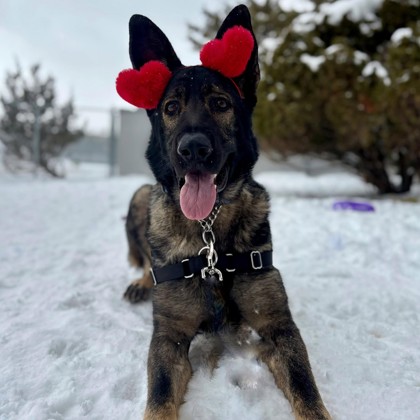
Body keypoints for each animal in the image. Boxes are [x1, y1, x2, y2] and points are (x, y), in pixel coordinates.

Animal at [117, 5, 331, 420]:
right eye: (171, 108)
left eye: (220, 104)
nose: (193, 149)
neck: (209, 235)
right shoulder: (168, 337)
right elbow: (159, 399)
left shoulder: (279, 328)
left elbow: (307, 392)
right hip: (139, 195)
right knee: (145, 259)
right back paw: (141, 282)